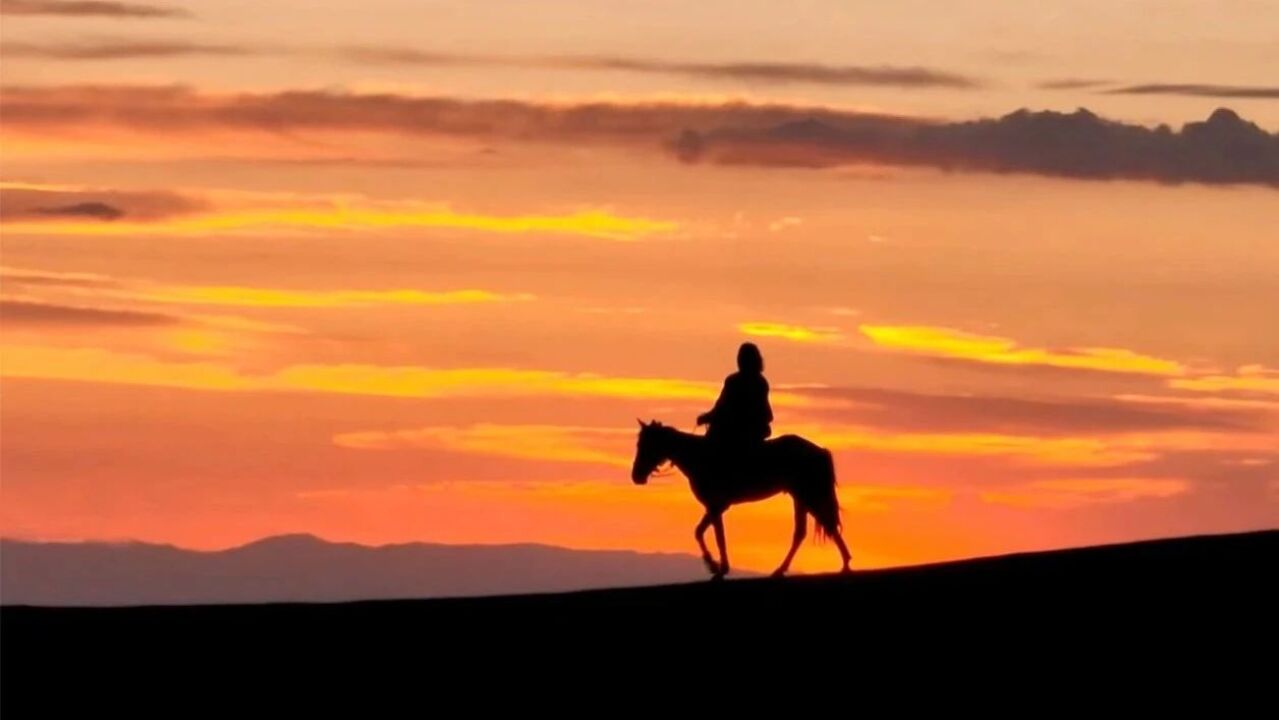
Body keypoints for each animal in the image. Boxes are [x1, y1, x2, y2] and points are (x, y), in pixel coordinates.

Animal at [629, 422, 849, 580]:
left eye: (646, 445)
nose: (636, 476)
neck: (699, 457)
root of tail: (819, 450)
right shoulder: (715, 507)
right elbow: (702, 532)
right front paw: (716, 566)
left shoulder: (716, 506)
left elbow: (715, 536)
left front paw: (717, 567)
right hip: (801, 496)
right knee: (807, 530)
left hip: (808, 494)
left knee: (823, 525)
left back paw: (843, 563)